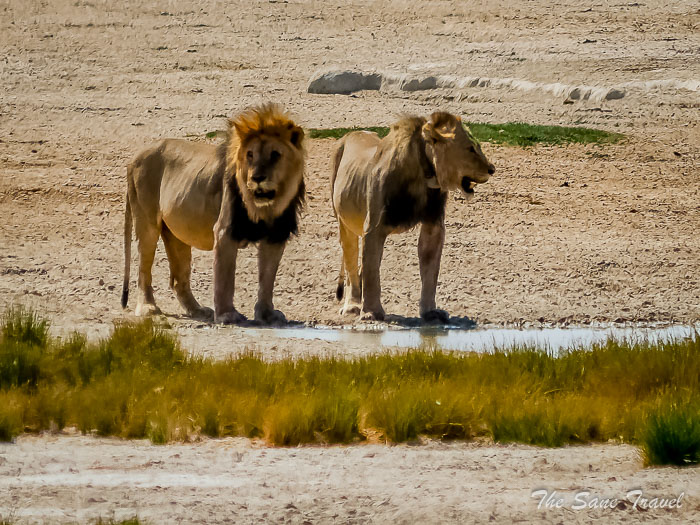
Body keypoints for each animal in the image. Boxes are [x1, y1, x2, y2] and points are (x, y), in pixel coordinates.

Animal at [122, 103, 305, 324]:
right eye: (250, 154)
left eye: (275, 154)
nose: (257, 178)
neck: (266, 207)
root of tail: (135, 157)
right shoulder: (225, 231)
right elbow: (225, 278)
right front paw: (228, 315)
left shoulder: (276, 235)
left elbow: (268, 279)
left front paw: (268, 314)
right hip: (146, 222)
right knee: (143, 270)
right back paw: (148, 308)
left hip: (177, 233)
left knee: (178, 279)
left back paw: (198, 310)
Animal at [331, 111, 495, 323]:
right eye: (471, 149)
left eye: (478, 146)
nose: (492, 169)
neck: (424, 176)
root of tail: (352, 133)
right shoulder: (373, 228)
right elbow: (372, 272)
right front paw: (371, 313)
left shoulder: (434, 225)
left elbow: (430, 272)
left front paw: (430, 312)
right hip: (344, 221)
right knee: (351, 263)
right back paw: (352, 306)